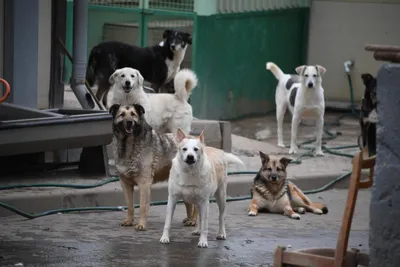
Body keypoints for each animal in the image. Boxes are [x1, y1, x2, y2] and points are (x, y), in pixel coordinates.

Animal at [109, 103, 197, 231]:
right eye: (122, 115)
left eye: (133, 114)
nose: (129, 122)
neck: (128, 145)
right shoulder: (125, 184)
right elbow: (130, 205)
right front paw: (129, 221)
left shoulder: (144, 183)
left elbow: (142, 206)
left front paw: (141, 224)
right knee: (189, 204)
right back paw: (189, 218)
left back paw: (193, 220)